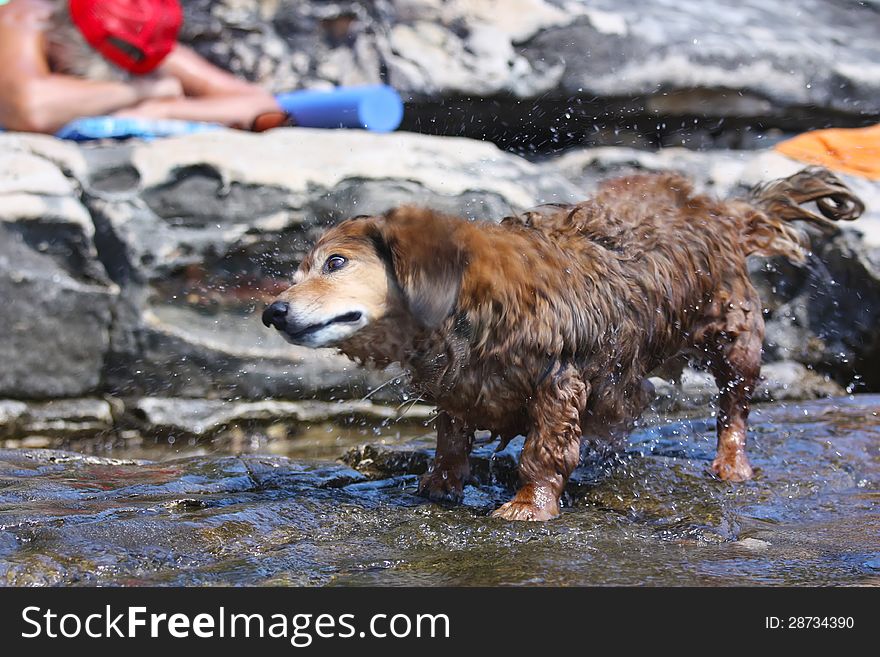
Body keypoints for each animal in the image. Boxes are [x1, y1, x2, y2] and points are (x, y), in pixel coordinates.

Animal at [262, 167, 868, 520]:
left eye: (335, 263)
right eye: (296, 272)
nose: (273, 312)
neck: (470, 304)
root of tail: (719, 211)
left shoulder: (560, 378)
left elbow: (544, 451)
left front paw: (530, 506)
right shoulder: (458, 382)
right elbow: (451, 437)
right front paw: (438, 484)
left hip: (734, 338)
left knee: (734, 408)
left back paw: (731, 464)